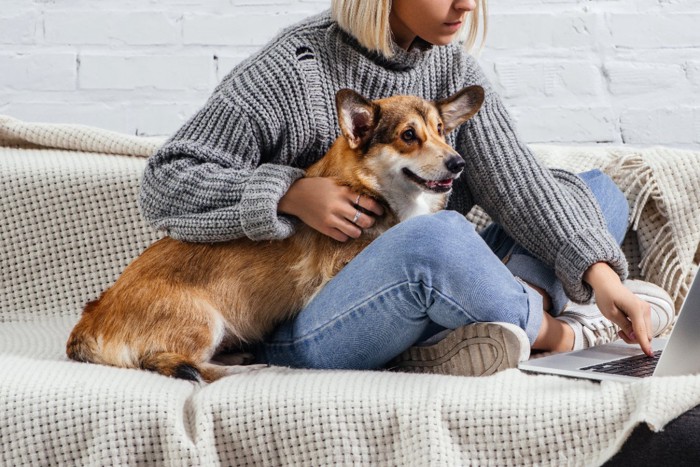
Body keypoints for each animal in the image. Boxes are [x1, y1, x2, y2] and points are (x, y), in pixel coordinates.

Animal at [65, 86, 484, 382]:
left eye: (441, 131)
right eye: (408, 135)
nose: (458, 163)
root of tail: (90, 320)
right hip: (203, 320)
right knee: (190, 366)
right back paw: (247, 368)